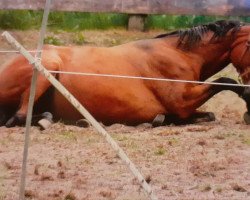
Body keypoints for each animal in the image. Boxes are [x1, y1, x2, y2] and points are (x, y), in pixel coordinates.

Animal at [0, 19, 250, 126]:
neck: (180, 53)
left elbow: (208, 114)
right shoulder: (182, 101)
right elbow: (226, 81)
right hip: (48, 65)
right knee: (19, 117)